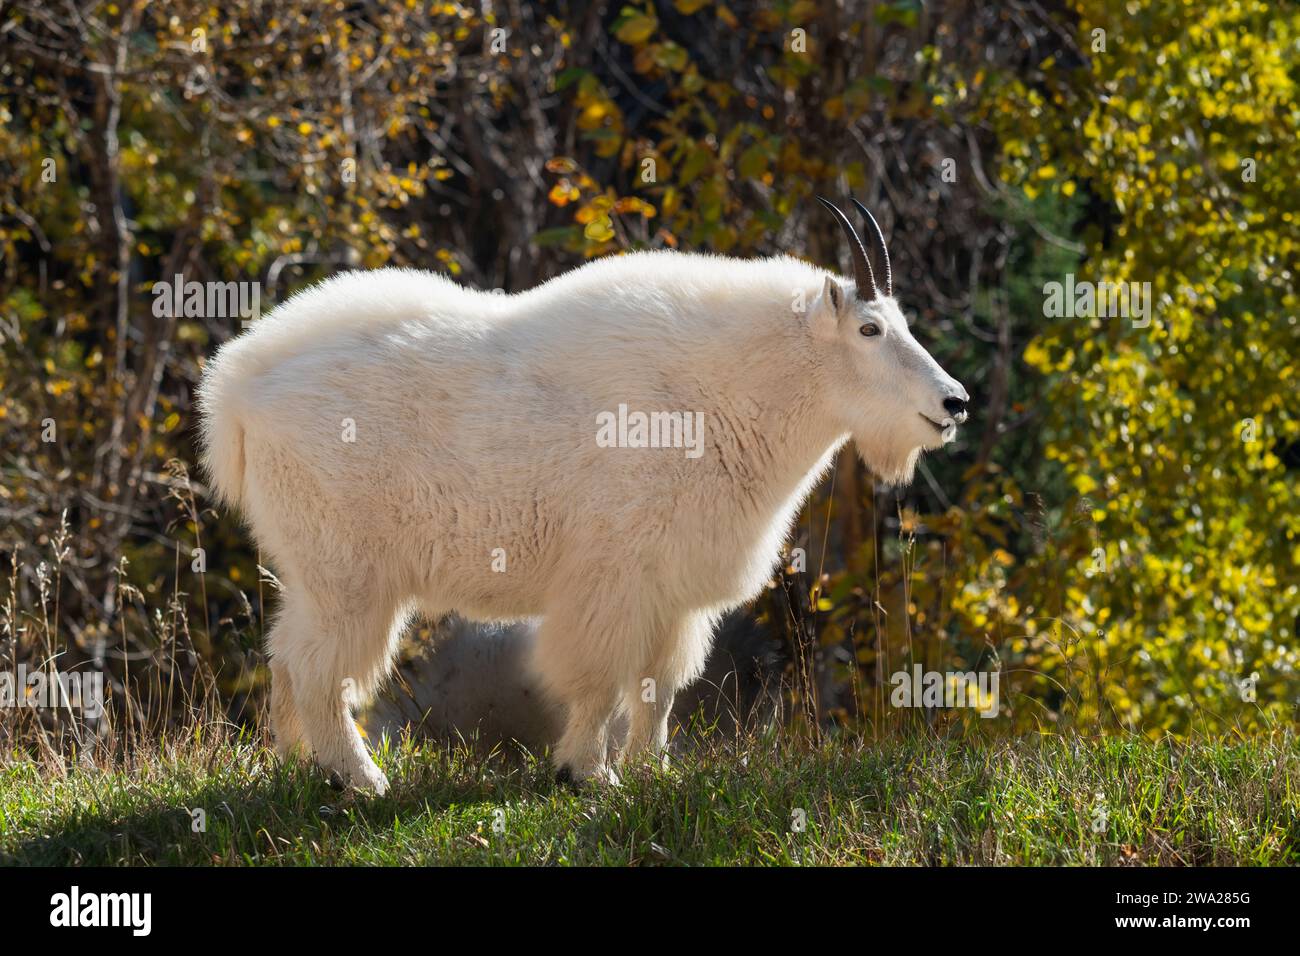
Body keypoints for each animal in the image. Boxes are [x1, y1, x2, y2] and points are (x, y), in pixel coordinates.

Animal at [197, 199, 969, 792]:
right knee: (317, 667)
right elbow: (600, 676)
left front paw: (653, 769)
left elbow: (661, 683)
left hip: (310, 568)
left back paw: (301, 767)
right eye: (870, 328)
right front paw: (589, 773)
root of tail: (234, 393)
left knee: (284, 656)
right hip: (348, 570)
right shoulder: (613, 575)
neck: (724, 393)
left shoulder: (672, 590)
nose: (954, 403)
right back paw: (362, 779)